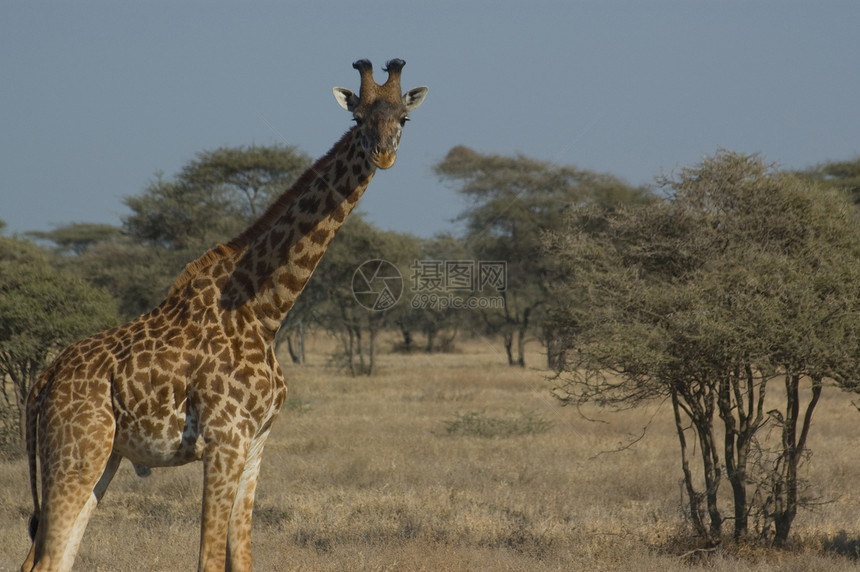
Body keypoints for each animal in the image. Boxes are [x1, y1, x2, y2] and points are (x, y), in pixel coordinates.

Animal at [17, 59, 426, 572]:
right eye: (358, 119)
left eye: (403, 118)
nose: (383, 154)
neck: (265, 312)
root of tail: (43, 382)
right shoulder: (224, 441)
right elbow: (209, 559)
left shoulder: (255, 446)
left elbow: (241, 556)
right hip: (76, 453)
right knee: (46, 559)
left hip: (102, 457)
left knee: (56, 555)